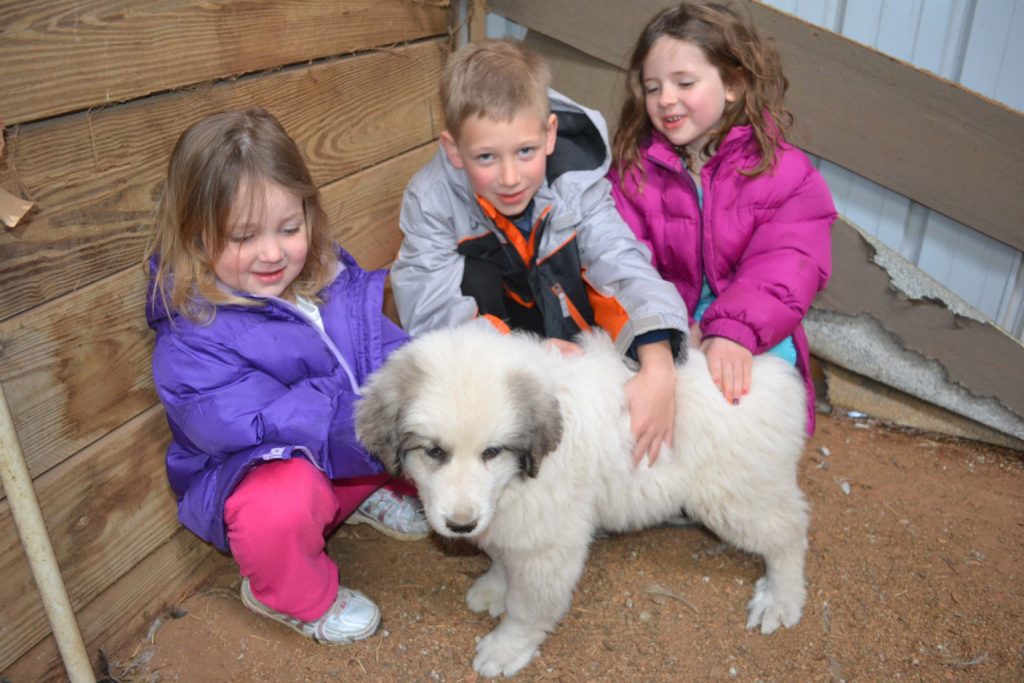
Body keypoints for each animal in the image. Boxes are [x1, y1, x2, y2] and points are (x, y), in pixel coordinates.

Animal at [356, 325, 811, 679]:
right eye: (434, 452)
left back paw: (779, 600)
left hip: (736, 496)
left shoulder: (547, 542)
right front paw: (493, 587)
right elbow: (503, 559)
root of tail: (771, 377)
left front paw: (505, 649)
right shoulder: (513, 522)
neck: (516, 478)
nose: (462, 525)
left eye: (492, 452)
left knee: (789, 533)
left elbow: (528, 607)